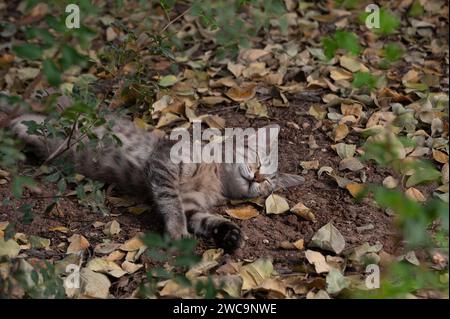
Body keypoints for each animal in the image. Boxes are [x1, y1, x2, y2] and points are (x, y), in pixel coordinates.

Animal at [2, 108, 302, 252]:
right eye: (257, 160)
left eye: (268, 183)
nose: (258, 177)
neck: (215, 179)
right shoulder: (165, 161)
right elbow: (171, 201)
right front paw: (177, 231)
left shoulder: (193, 206)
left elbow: (206, 220)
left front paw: (230, 234)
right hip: (37, 129)